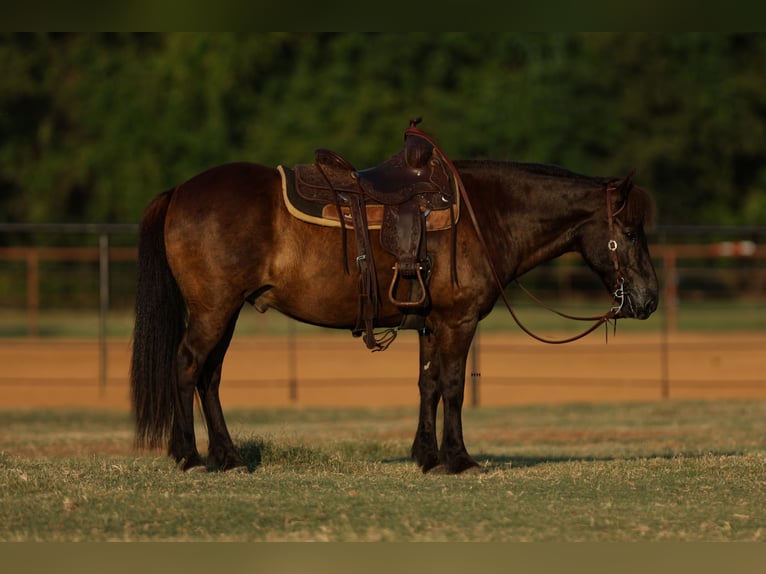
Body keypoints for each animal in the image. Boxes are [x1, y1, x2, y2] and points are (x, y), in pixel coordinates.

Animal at [129, 151, 656, 474]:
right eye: (630, 232)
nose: (649, 299)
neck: (484, 216)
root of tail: (179, 191)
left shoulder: (431, 324)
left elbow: (427, 385)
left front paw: (427, 456)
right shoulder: (458, 321)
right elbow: (453, 386)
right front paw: (459, 459)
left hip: (226, 313)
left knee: (209, 377)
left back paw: (228, 456)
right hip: (213, 311)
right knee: (187, 367)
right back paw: (190, 456)